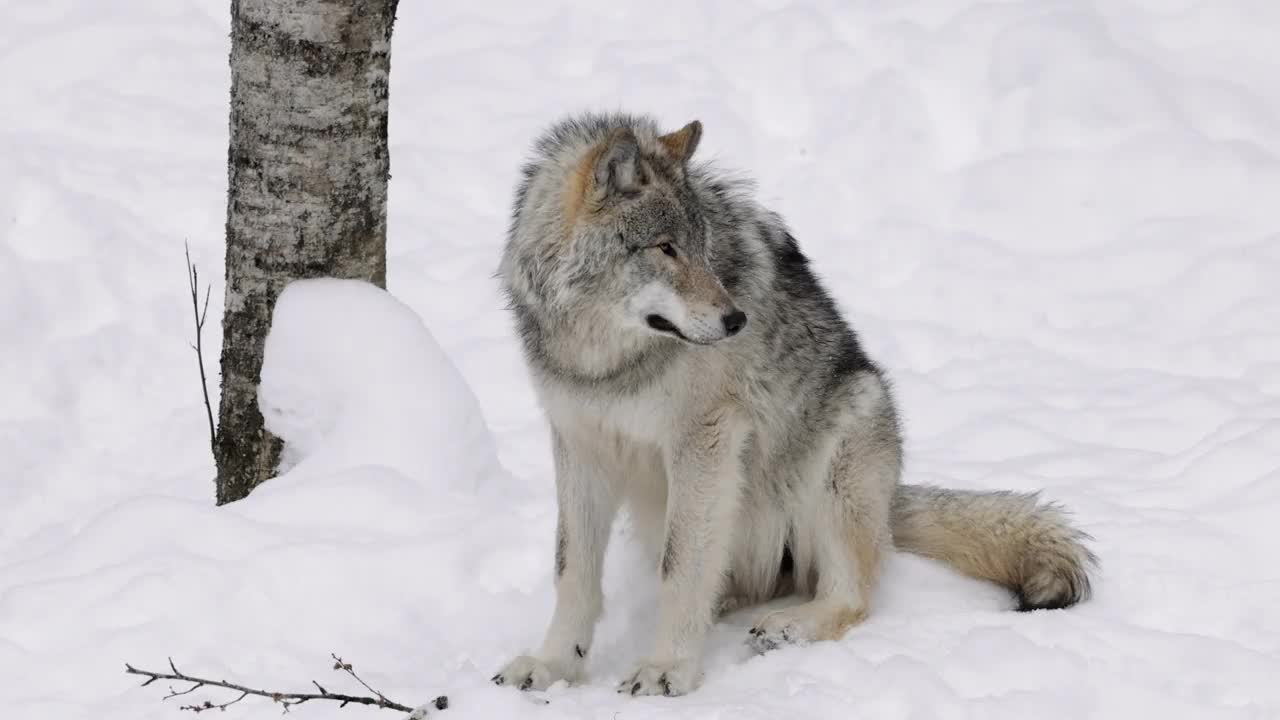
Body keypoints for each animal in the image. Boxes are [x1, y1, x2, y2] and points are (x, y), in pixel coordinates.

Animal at [486, 113, 1090, 696]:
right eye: (665, 248)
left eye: (703, 247)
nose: (736, 320)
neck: (604, 362)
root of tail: (892, 496)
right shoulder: (579, 443)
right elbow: (573, 570)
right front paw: (554, 664)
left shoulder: (704, 439)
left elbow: (680, 568)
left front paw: (667, 668)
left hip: (838, 453)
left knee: (851, 595)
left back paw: (788, 626)